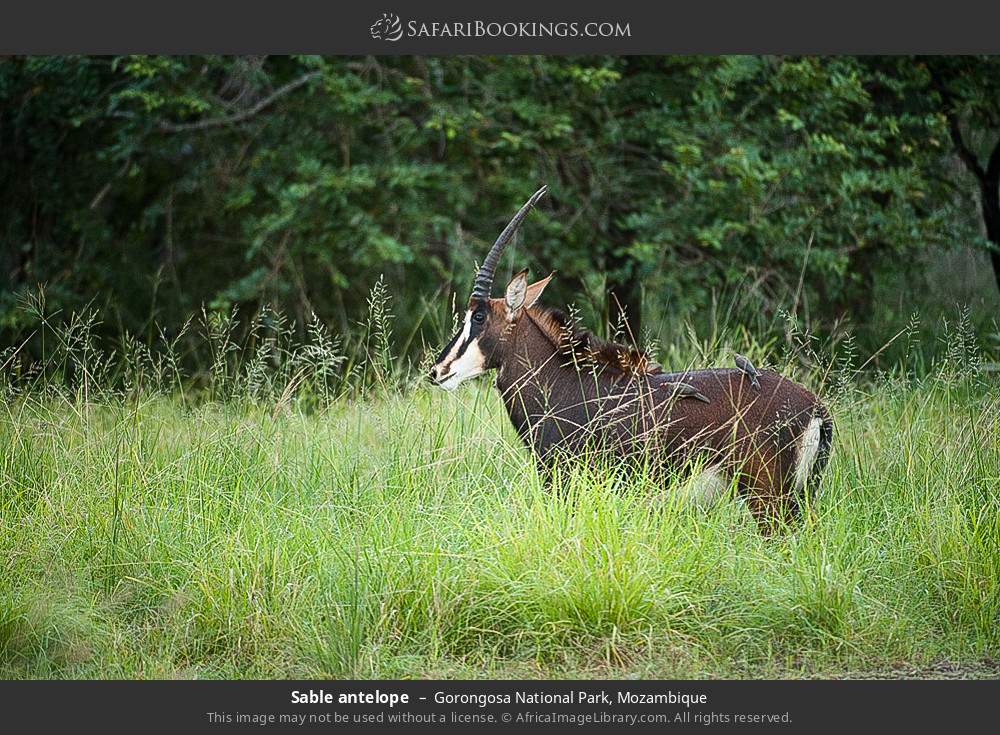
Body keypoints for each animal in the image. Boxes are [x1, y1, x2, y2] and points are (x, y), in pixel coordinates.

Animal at [429, 186, 833, 529]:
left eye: (478, 317)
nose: (438, 370)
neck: (562, 383)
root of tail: (814, 407)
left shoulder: (565, 483)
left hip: (767, 496)